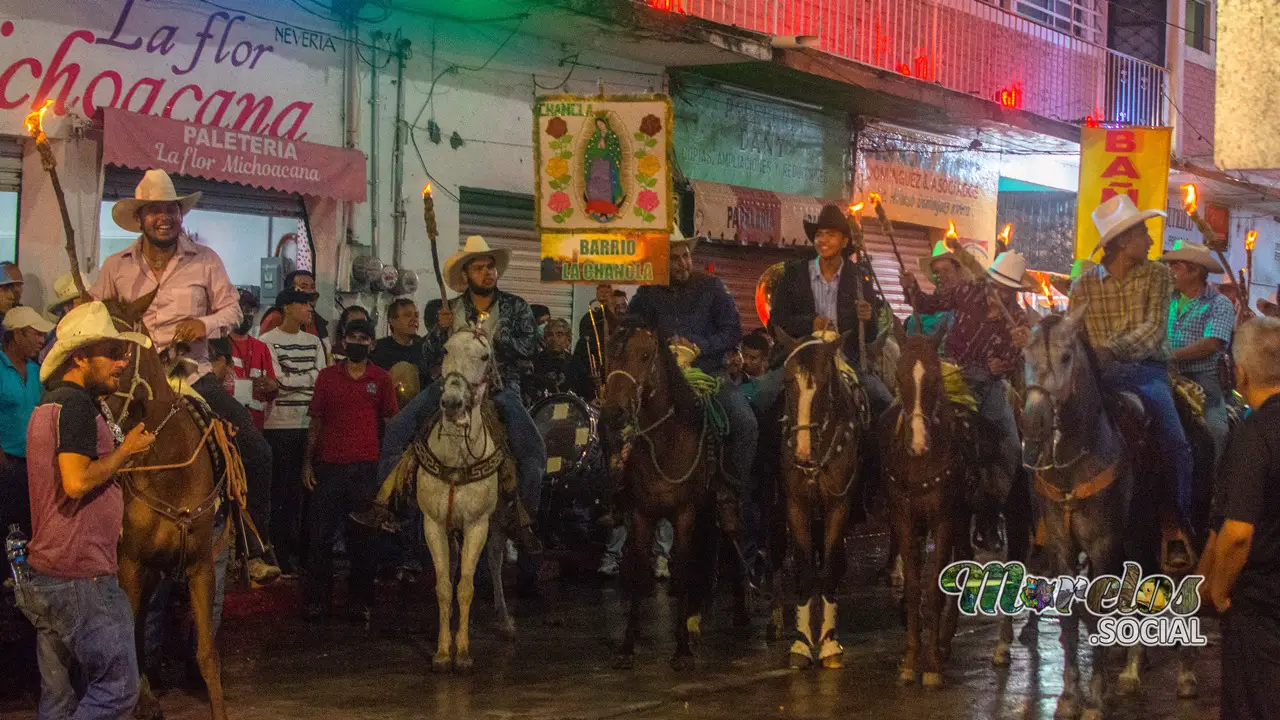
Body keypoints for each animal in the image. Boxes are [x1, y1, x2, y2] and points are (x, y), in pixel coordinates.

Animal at [407, 326, 512, 671]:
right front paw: (442, 652)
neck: (456, 457)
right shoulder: (434, 523)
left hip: (498, 522)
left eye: (484, 356)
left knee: (495, 561)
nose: (452, 403)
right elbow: (443, 585)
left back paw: (505, 620)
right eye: (445, 349)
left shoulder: (477, 524)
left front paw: (463, 652)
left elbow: (466, 585)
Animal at [596, 319, 742, 666]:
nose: (613, 413)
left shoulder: (685, 514)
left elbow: (684, 568)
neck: (666, 444)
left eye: (645, 355)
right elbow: (637, 572)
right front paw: (627, 645)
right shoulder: (641, 515)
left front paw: (682, 650)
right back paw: (694, 621)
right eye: (611, 353)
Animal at [768, 326, 870, 666]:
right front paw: (801, 643)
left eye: (825, 385)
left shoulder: (839, 505)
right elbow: (803, 569)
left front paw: (828, 643)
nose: (802, 453)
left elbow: (829, 568)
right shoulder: (795, 505)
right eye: (788, 381)